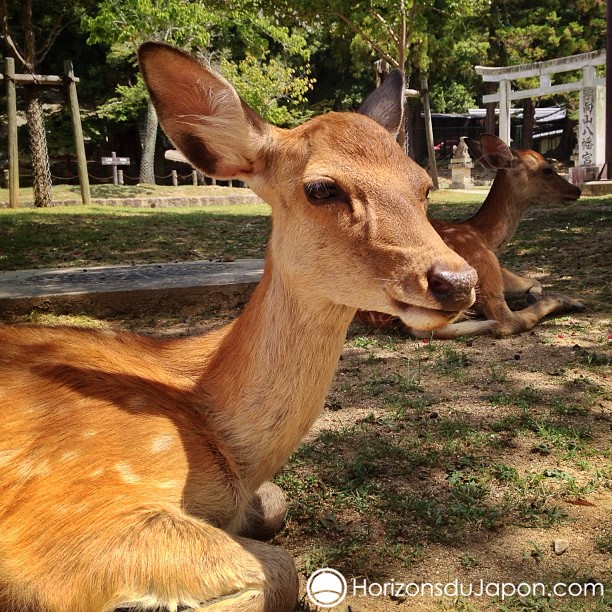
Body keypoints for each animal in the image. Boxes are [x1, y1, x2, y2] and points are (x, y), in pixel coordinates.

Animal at [0, 44, 478, 612]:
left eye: (424, 185)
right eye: (321, 187)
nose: (457, 280)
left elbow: (275, 507)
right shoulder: (65, 513)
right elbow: (279, 569)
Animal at [358, 132, 584, 340]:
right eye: (547, 169)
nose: (576, 190)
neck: (484, 237)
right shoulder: (490, 264)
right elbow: (534, 282)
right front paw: (538, 296)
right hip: (483, 271)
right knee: (506, 321)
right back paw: (571, 301)